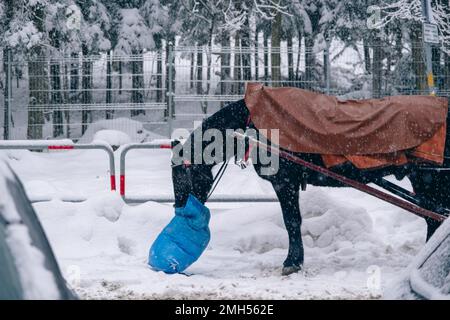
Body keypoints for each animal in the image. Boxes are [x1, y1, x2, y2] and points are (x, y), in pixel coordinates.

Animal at [171, 99, 448, 274]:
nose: (179, 208)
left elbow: (292, 221)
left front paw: (293, 261)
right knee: (433, 219)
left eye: (181, 175)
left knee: (434, 219)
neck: (254, 126)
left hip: (429, 179)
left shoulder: (285, 182)